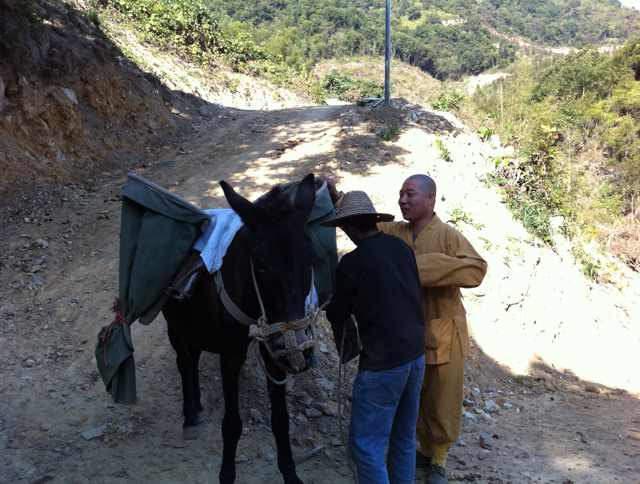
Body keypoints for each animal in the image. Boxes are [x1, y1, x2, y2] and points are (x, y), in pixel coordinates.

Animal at [161, 174, 318, 484]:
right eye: (261, 265)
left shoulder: (272, 352)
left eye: (310, 257)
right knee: (184, 362)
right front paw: (226, 474)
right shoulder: (231, 357)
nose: (297, 354)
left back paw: (197, 406)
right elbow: (232, 424)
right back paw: (189, 415)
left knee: (193, 358)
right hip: (175, 328)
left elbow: (280, 421)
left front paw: (290, 474)